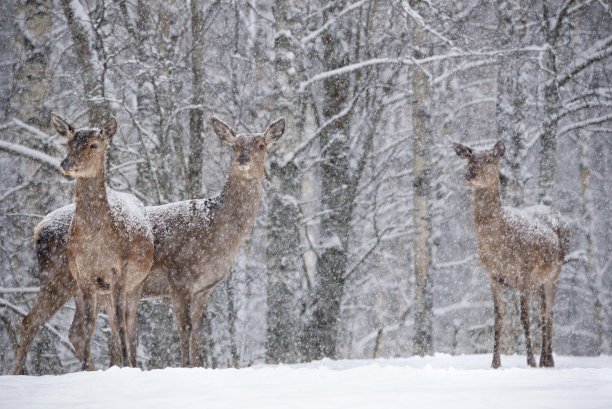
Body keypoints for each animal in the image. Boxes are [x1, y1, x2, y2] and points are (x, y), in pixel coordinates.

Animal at [51, 112, 154, 370]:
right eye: (68, 143)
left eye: (94, 145)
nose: (67, 163)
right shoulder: (83, 275)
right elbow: (89, 325)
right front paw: (84, 368)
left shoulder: (120, 271)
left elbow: (121, 321)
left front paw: (127, 365)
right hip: (103, 290)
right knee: (110, 327)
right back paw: (114, 363)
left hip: (135, 285)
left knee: (129, 322)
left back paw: (131, 363)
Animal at [454, 139, 568, 366]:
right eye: (469, 158)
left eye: (490, 159)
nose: (469, 174)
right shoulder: (493, 276)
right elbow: (498, 318)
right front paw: (495, 363)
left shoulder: (524, 271)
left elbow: (524, 317)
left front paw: (530, 361)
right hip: (540, 281)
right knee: (543, 311)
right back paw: (544, 359)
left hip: (556, 271)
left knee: (549, 313)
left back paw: (547, 360)